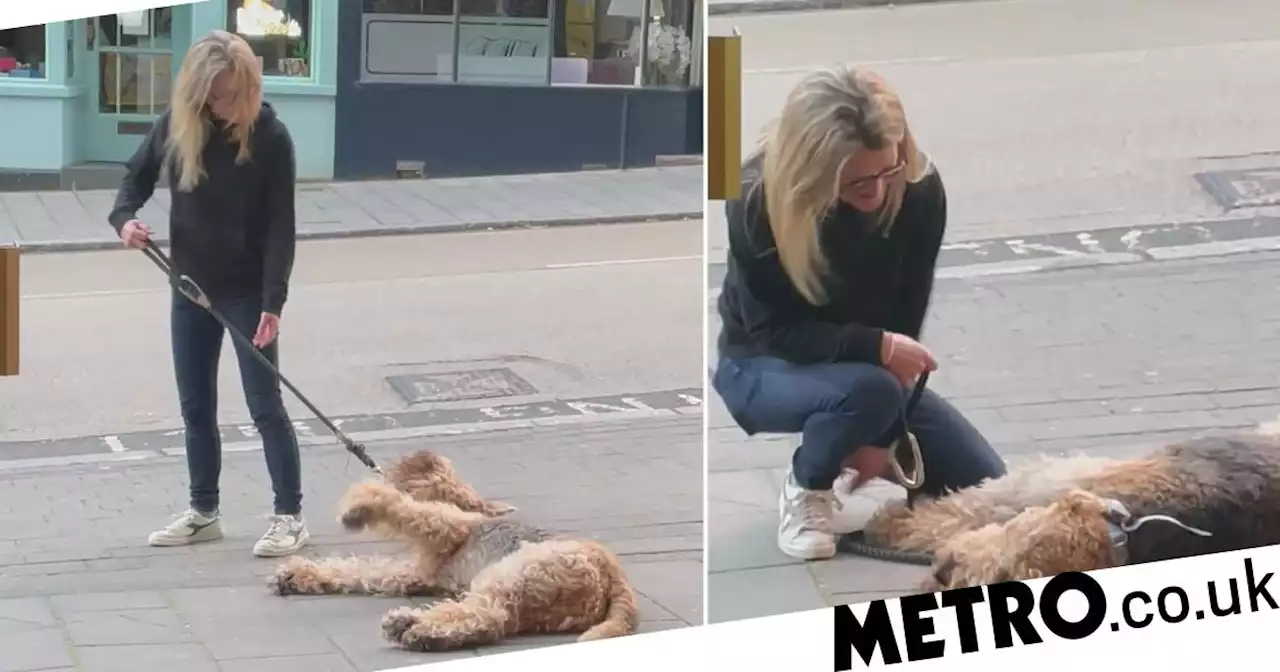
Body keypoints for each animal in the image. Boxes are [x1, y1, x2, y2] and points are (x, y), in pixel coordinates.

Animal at [266, 450, 640, 650]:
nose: (391, 465)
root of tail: (615, 579)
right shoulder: (417, 573)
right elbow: (360, 571)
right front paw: (294, 575)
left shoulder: (443, 526)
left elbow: (400, 507)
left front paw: (359, 506)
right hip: (533, 604)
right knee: (490, 621)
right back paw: (415, 628)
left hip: (512, 574)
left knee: (488, 616)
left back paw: (413, 628)